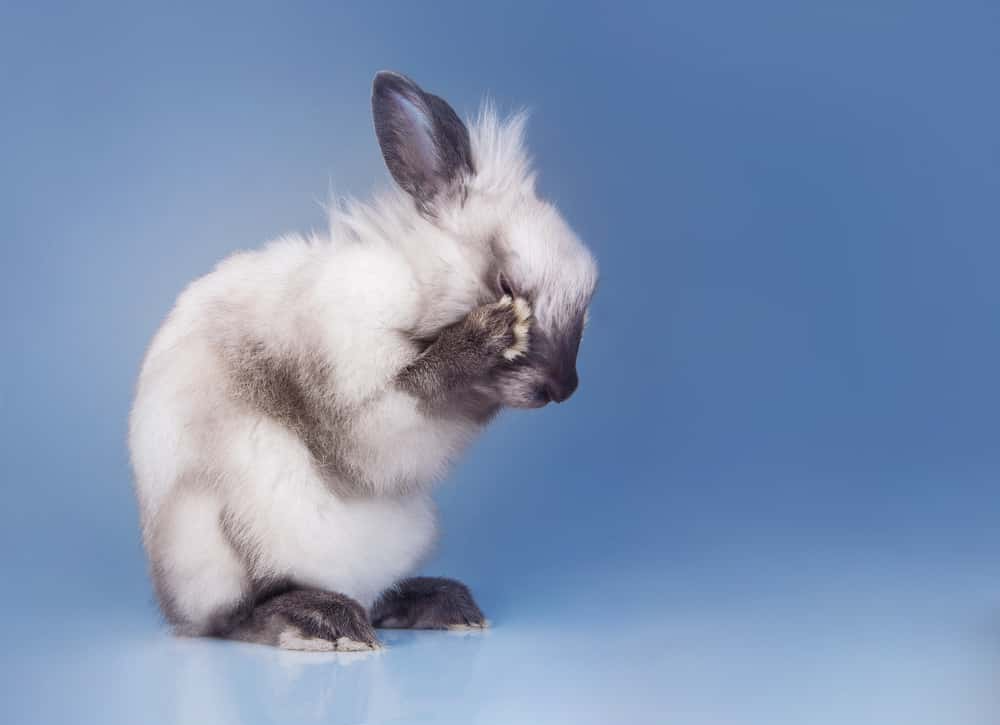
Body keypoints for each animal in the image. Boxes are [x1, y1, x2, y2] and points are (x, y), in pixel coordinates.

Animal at [129, 71, 598, 651]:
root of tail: (173, 607)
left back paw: (439, 605)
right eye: (508, 286)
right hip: (240, 522)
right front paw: (489, 335)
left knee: (372, 596)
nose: (564, 387)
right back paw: (326, 622)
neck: (418, 290)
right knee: (235, 615)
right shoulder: (361, 404)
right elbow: (404, 403)